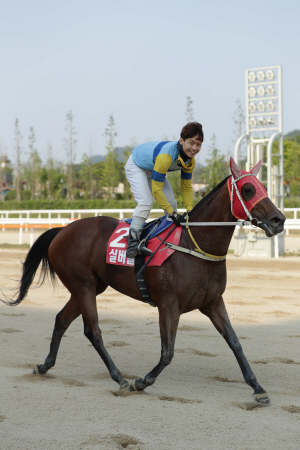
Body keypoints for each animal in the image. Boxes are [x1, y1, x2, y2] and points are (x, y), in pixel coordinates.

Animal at [1, 158, 284, 404]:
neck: (195, 246)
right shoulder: (168, 306)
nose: (279, 220)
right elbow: (168, 352)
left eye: (264, 187)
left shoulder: (213, 303)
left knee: (62, 320)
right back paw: (120, 378)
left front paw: (258, 388)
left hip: (90, 286)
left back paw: (44, 365)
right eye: (247, 190)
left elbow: (235, 342)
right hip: (83, 286)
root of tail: (63, 230)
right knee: (94, 331)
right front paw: (141, 382)